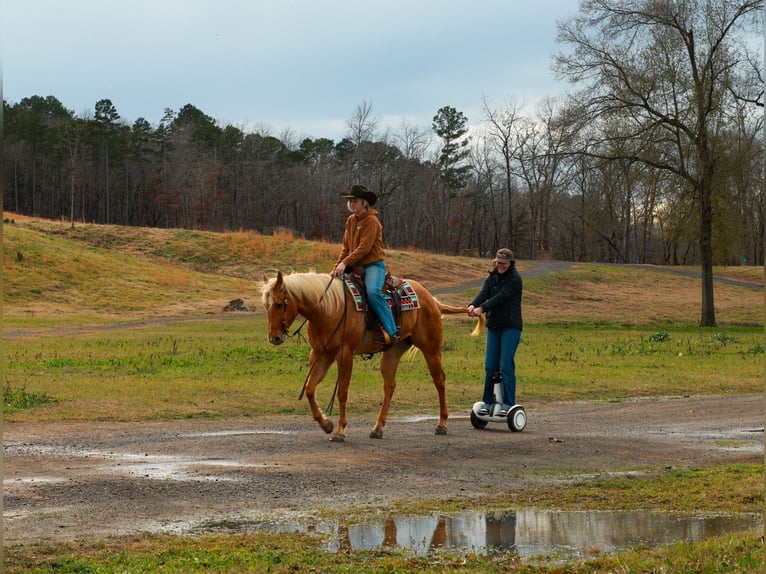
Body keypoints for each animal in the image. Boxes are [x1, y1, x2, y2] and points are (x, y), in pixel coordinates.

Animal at [261, 270, 481, 441]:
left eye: (279, 304)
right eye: (266, 305)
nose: (274, 338)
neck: (329, 308)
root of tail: (431, 299)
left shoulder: (345, 354)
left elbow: (342, 392)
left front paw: (339, 431)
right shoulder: (321, 354)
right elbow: (309, 388)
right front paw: (326, 424)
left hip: (431, 349)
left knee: (439, 380)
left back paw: (442, 424)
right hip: (392, 352)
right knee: (389, 386)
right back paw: (378, 428)